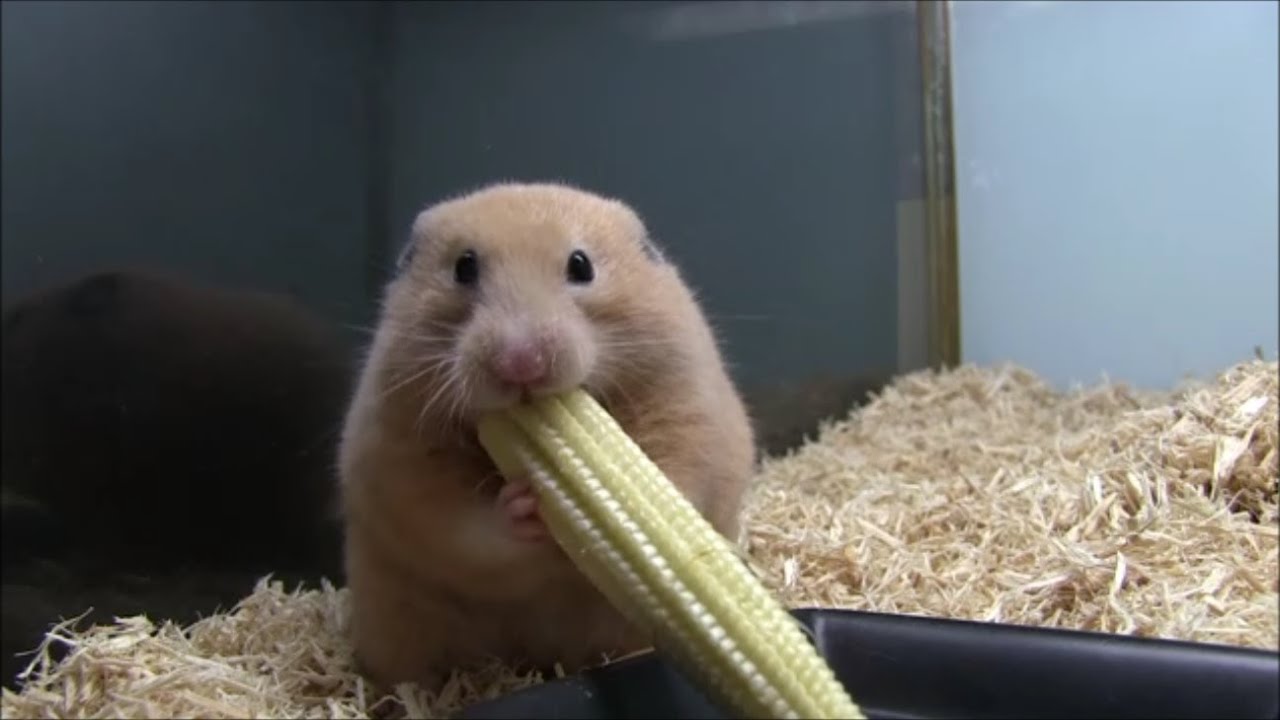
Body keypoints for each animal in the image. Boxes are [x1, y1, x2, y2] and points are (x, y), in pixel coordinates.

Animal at [338, 182, 757, 690]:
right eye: (464, 267)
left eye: (581, 266)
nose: (521, 363)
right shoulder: (401, 453)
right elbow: (462, 524)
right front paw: (526, 504)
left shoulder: (686, 407)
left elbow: (676, 474)